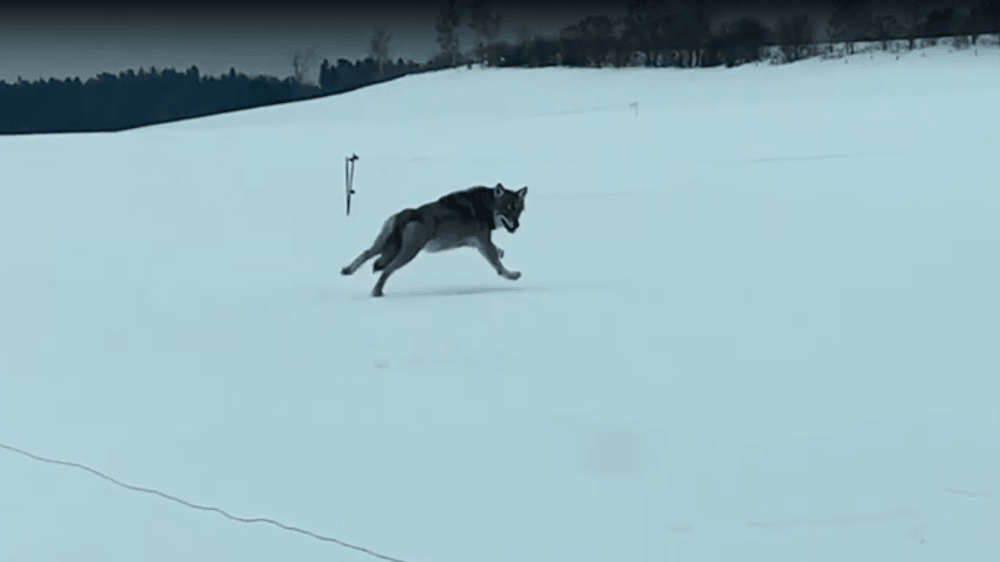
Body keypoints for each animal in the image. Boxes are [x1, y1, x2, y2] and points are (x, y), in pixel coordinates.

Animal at [341, 183, 528, 297]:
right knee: (387, 270)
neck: (486, 207)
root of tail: (405, 214)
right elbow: (499, 267)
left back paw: (347, 270)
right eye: (507, 209)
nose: (517, 225)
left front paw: (502, 252)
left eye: (519, 210)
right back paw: (376, 292)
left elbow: (497, 251)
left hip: (384, 246)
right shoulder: (483, 242)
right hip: (408, 254)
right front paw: (513, 275)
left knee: (366, 254)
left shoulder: (476, 243)